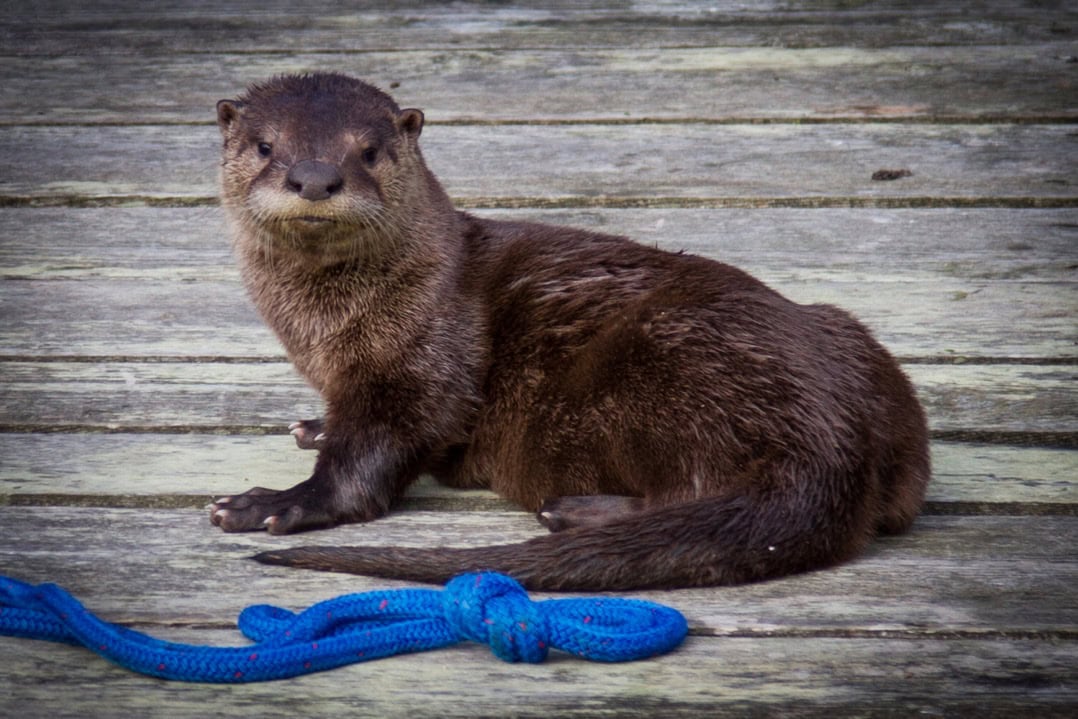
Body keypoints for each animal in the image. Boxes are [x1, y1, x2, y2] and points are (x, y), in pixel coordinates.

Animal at [210, 72, 930, 591]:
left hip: (661, 369)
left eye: (369, 150)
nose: (314, 178)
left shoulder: (423, 360)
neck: (324, 332)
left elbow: (374, 458)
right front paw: (316, 427)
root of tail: (830, 437)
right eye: (266, 146)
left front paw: (275, 503)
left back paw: (573, 511)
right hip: (851, 342)